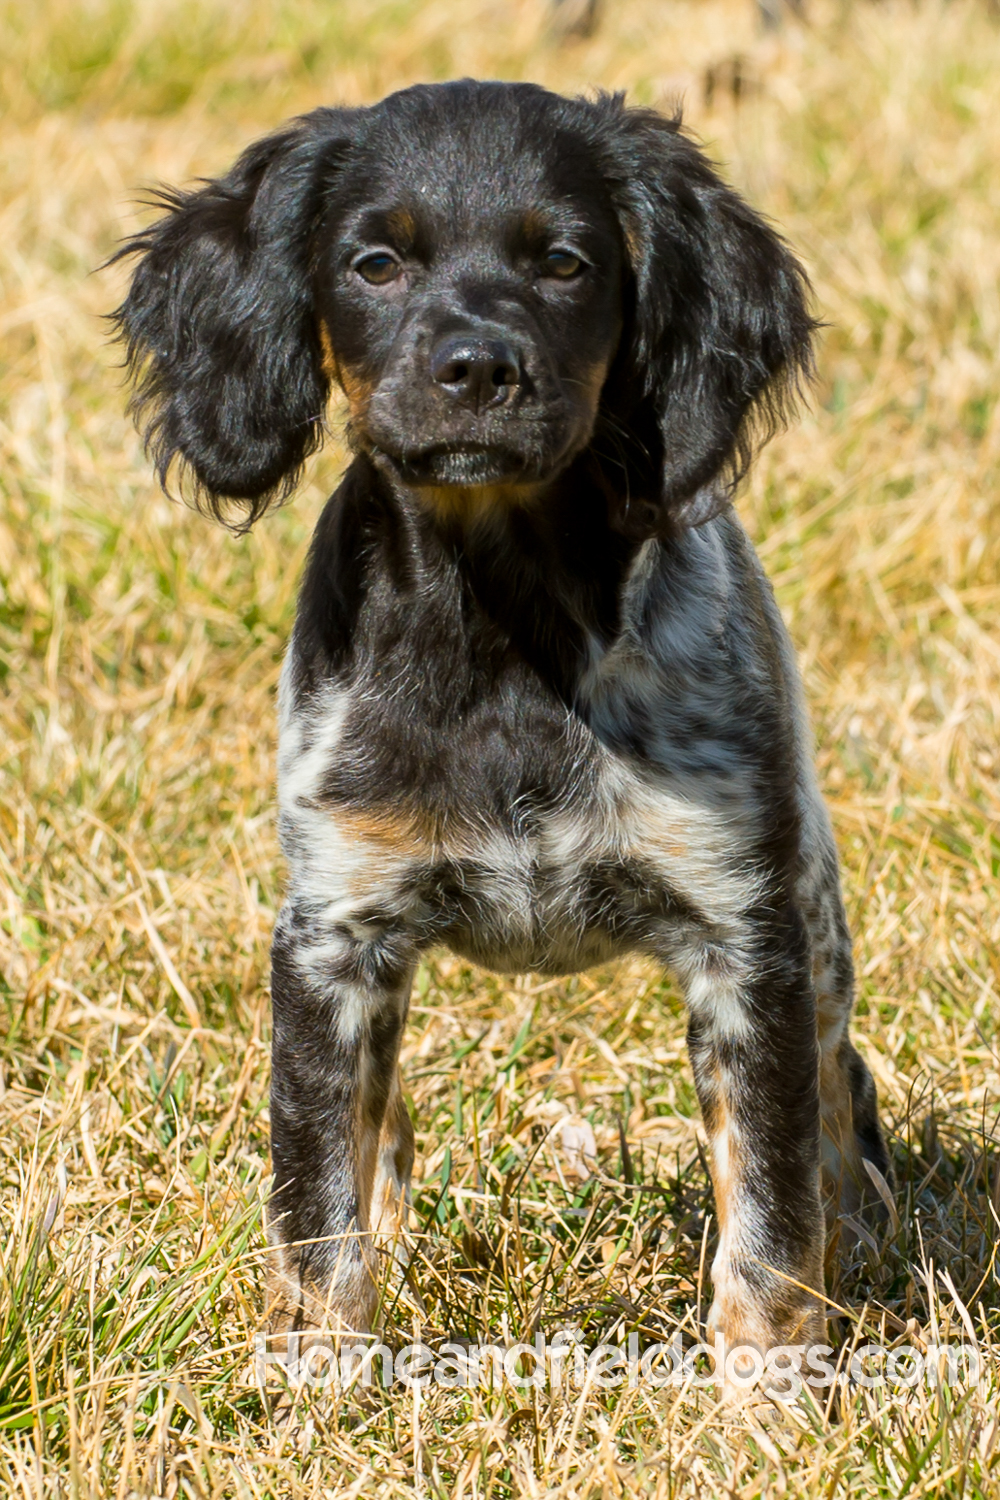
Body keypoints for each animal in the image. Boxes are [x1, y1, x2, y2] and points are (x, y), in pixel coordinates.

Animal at [115, 79, 893, 1374]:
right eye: (375, 262)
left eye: (566, 263)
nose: (478, 366)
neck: (502, 632)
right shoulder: (330, 936)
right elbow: (315, 1207)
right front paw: (320, 1382)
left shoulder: (747, 939)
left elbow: (772, 1216)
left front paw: (768, 1390)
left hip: (817, 928)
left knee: (836, 1101)